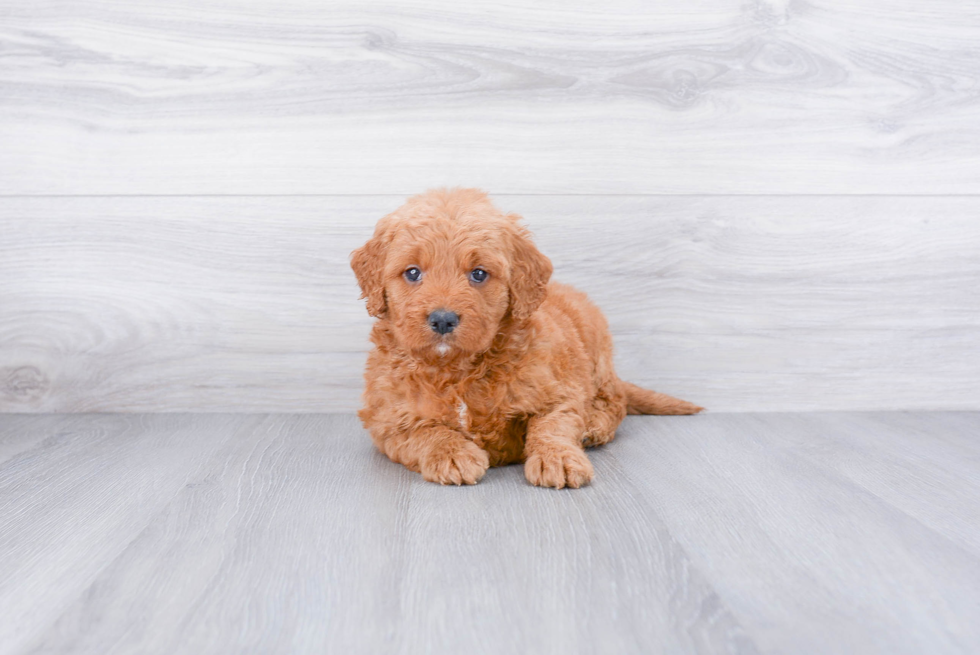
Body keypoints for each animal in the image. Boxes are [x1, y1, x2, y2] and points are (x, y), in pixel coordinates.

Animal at [352, 188, 704, 486]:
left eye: (478, 274)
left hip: (599, 355)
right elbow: (423, 430)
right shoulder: (387, 420)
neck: (458, 370)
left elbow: (551, 425)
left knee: (615, 402)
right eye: (412, 272)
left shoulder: (560, 391)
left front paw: (558, 459)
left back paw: (594, 425)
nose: (442, 319)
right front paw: (451, 453)